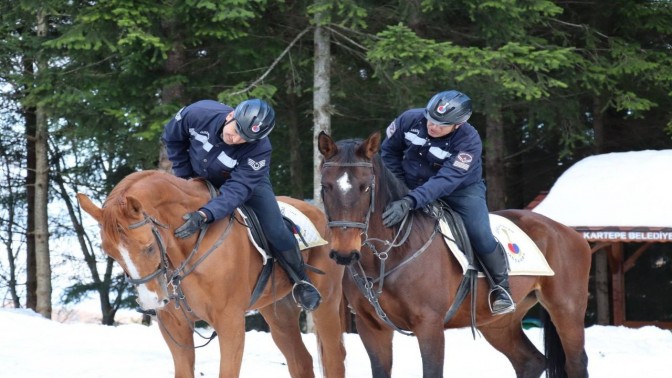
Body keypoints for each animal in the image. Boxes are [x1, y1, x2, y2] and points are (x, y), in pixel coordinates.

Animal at [76, 171, 344, 378]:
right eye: (110, 253)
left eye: (149, 247)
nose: (151, 301)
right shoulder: (175, 328)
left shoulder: (230, 322)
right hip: (279, 312)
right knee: (301, 362)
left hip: (326, 304)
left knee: (334, 358)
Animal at [318, 131, 592, 378]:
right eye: (325, 186)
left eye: (365, 187)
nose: (344, 253)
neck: (387, 256)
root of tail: (568, 232)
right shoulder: (371, 328)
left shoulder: (429, 326)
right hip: (499, 323)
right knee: (530, 362)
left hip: (566, 310)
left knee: (575, 363)